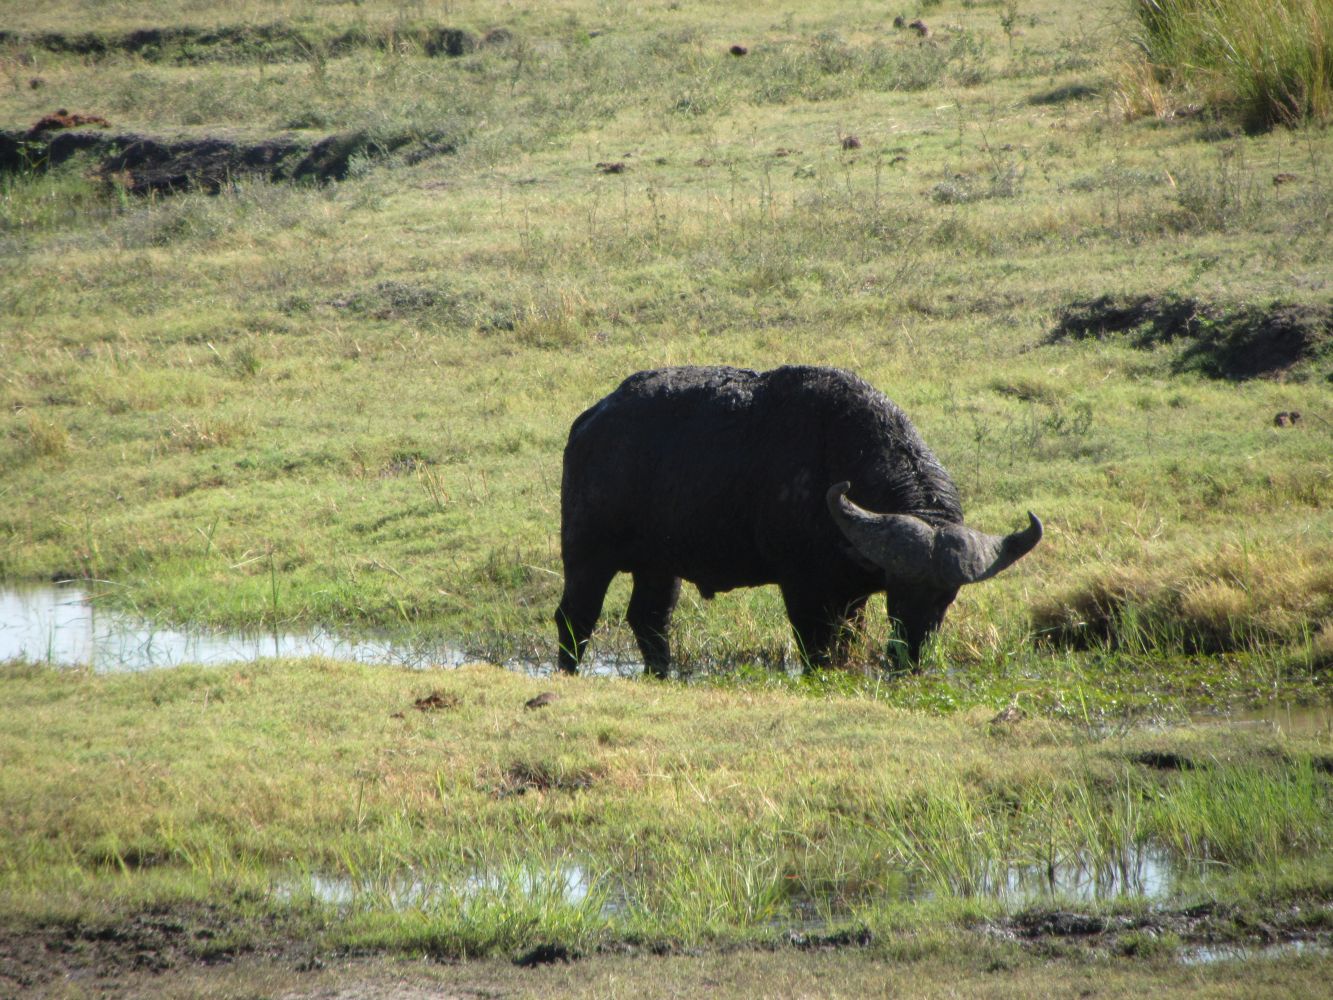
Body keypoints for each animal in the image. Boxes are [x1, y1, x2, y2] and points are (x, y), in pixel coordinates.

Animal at [551, 365, 1039, 677]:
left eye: (948, 596)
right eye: (898, 590)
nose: (913, 654)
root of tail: (588, 423)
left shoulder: (852, 596)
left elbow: (846, 643)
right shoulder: (803, 588)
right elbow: (815, 648)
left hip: (659, 565)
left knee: (650, 618)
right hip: (586, 554)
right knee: (576, 615)